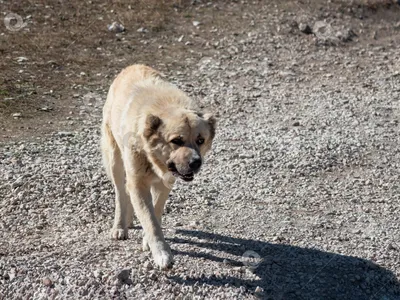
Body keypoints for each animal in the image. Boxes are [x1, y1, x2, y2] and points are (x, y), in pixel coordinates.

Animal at [101, 64, 217, 268]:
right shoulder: (139, 182)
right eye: (176, 140)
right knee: (120, 192)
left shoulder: (164, 183)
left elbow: (155, 211)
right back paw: (120, 226)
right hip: (115, 159)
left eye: (200, 140)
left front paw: (149, 241)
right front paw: (162, 253)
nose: (196, 162)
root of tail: (131, 66)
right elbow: (149, 219)